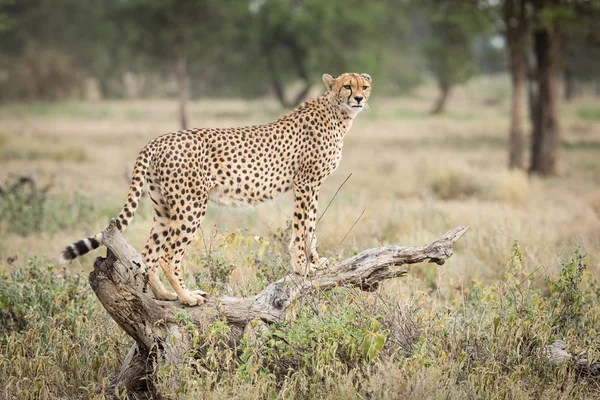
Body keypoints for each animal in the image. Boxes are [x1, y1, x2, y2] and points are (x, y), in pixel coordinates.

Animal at [59, 72, 370, 304]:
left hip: (164, 208)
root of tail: (158, 139)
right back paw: (187, 297)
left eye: (364, 86)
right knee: (170, 256)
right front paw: (306, 265)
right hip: (191, 205)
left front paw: (313, 263)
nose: (359, 98)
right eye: (347, 86)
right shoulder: (306, 183)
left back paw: (164, 295)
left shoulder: (306, 185)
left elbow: (307, 226)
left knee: (149, 255)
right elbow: (306, 227)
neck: (337, 112)